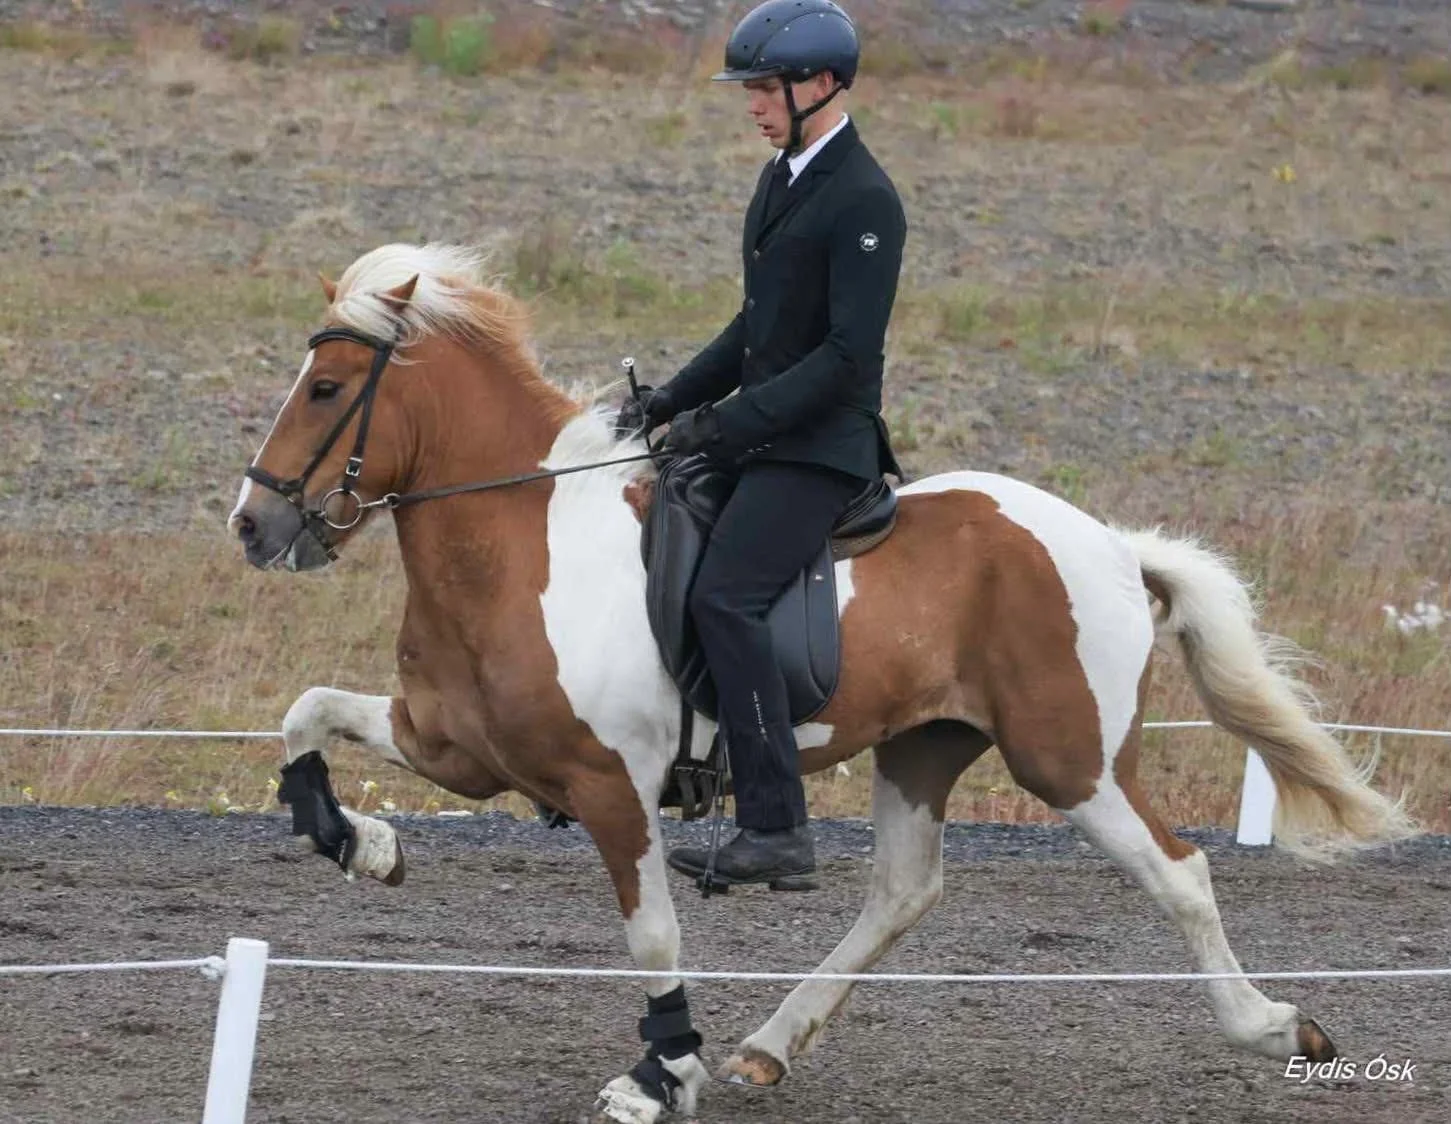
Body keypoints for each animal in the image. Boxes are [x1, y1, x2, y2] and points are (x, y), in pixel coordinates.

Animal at [228, 241, 1415, 1124]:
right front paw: (358, 843)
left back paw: (1277, 1026)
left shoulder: (610, 785)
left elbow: (652, 932)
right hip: (925, 743)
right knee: (902, 891)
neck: (521, 542)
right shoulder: (456, 745)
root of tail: (1112, 545)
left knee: (1178, 874)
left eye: (325, 388)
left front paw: (659, 1074)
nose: (253, 525)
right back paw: (768, 1045)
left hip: (1070, 757)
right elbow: (304, 714)